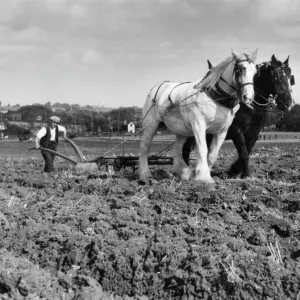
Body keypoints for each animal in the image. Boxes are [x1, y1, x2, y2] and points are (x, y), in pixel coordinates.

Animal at [138, 49, 258, 183]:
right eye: (241, 69)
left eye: (255, 72)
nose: (248, 97)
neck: (215, 99)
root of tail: (154, 89)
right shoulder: (199, 125)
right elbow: (203, 149)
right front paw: (204, 177)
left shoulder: (222, 131)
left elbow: (212, 155)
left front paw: (200, 173)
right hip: (151, 125)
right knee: (144, 148)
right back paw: (145, 175)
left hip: (182, 131)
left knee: (176, 150)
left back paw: (184, 173)